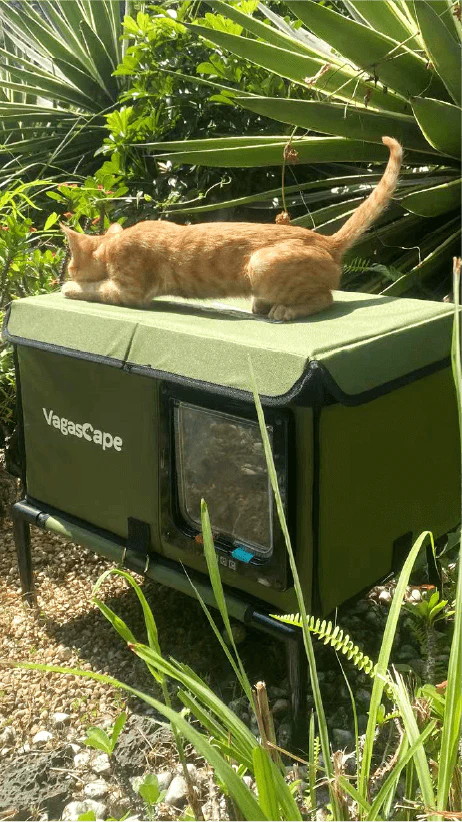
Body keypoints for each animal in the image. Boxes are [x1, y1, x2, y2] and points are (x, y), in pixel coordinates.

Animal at [61, 136, 402, 321]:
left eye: (69, 265)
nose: (66, 272)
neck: (112, 247)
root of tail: (325, 239)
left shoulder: (129, 292)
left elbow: (95, 289)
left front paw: (68, 287)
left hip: (261, 264)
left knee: (326, 299)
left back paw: (285, 310)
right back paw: (264, 304)